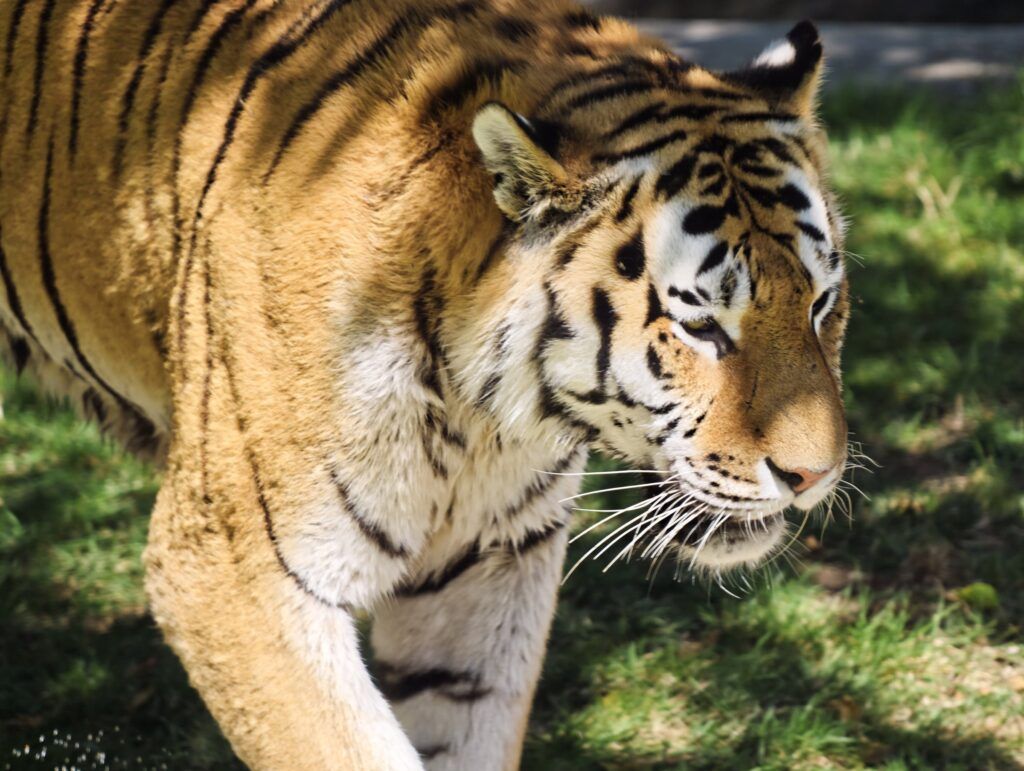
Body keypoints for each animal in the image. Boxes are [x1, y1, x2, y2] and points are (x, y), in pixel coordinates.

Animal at [0, 0, 849, 768]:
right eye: (700, 326)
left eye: (820, 304)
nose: (814, 475)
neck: (484, 415)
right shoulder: (232, 568)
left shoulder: (489, 564)